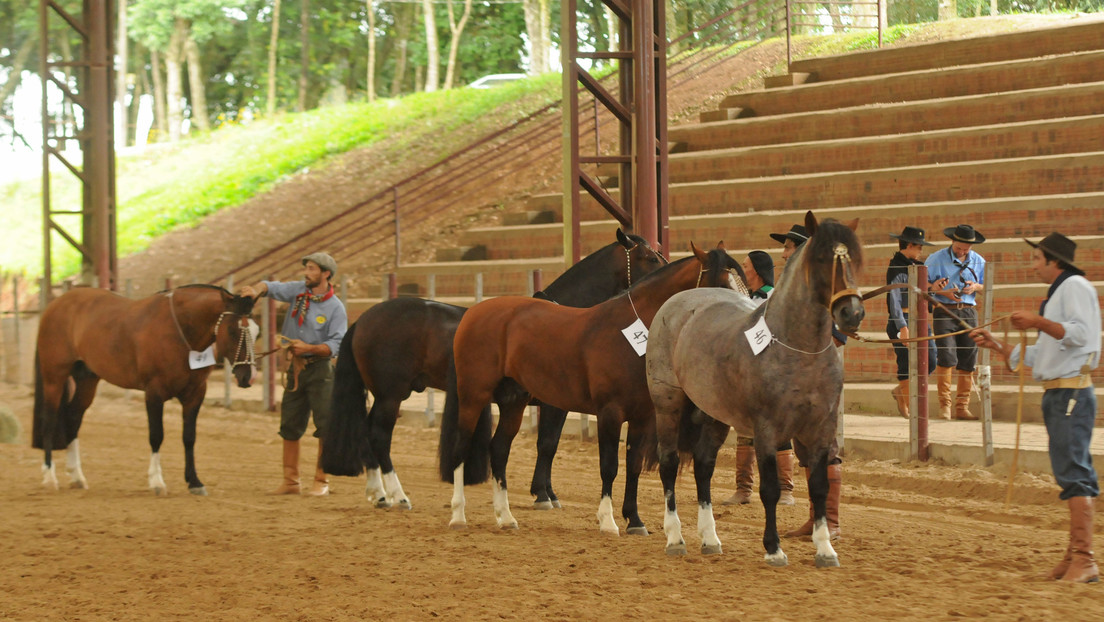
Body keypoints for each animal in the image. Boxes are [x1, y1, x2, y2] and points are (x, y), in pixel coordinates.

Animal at [33, 284, 258, 495]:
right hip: (54, 378)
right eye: (233, 331)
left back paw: (77, 477)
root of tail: (56, 304)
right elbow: (156, 435)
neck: (180, 332)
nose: (249, 376)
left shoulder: (195, 394)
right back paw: (49, 477)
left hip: (87, 379)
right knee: (49, 421)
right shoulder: (154, 393)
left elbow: (189, 437)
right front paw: (157, 482)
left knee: (73, 418)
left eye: (257, 332)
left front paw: (195, 482)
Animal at [322, 229, 666, 509]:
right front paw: (543, 495)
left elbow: (548, 445)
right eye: (650, 257)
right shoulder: (553, 406)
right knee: (379, 435)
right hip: (391, 395)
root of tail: (365, 318)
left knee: (367, 432)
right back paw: (398, 495)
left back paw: (379, 493)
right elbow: (547, 444)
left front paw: (546, 492)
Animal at [438, 242, 747, 533]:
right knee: (461, 447)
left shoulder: (640, 416)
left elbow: (633, 465)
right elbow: (608, 466)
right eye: (722, 284)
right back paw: (458, 516)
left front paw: (634, 520)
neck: (629, 333)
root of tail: (473, 313)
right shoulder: (609, 412)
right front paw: (607, 521)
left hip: (513, 401)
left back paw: (505, 517)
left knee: (499, 449)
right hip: (473, 396)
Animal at [645, 211, 864, 568]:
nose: (852, 313)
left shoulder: (821, 428)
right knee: (669, 463)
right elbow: (770, 490)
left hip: (714, 414)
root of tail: (674, 305)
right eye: (820, 258)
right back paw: (675, 538)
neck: (797, 350)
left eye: (855, 259)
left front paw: (825, 549)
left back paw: (710, 538)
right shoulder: (767, 429)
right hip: (668, 405)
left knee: (703, 465)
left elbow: (819, 486)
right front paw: (774, 549)